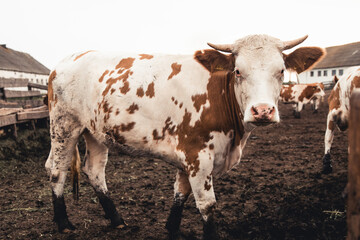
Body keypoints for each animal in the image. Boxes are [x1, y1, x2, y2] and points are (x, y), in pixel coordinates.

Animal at [45, 34, 326, 239]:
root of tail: (67, 60)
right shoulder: (198, 154)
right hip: (64, 125)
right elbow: (206, 203)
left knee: (94, 170)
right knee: (57, 169)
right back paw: (63, 222)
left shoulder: (187, 153)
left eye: (281, 71)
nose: (263, 111)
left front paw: (172, 227)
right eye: (237, 71)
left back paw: (116, 219)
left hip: (95, 132)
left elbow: (181, 192)